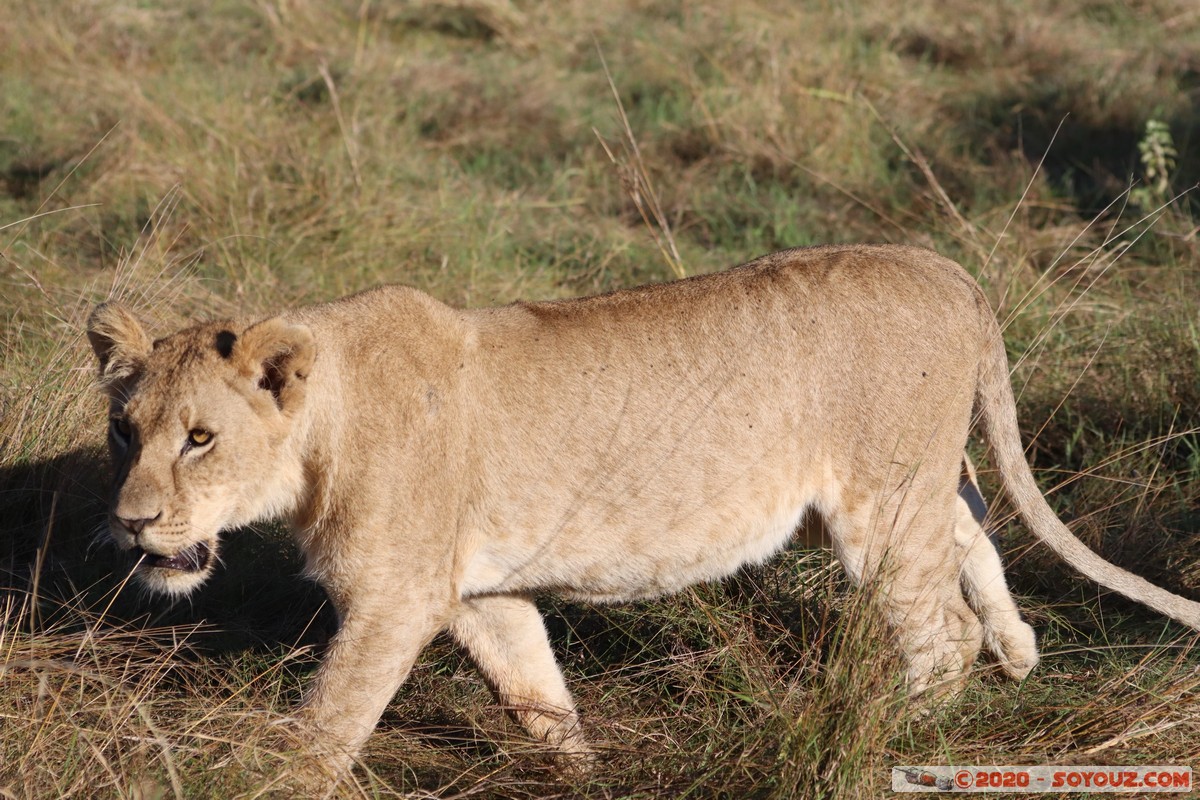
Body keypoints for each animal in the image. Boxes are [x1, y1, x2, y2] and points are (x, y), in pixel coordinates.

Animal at [87, 244, 1200, 780]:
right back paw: (1021, 653)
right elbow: (540, 702)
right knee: (972, 520)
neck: (326, 419)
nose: (132, 524)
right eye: (123, 432)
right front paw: (585, 775)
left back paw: (889, 735)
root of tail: (949, 269)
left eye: (199, 439)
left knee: (940, 636)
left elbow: (325, 725)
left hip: (877, 502)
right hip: (909, 482)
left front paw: (261, 780)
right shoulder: (479, 594)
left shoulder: (397, 597)